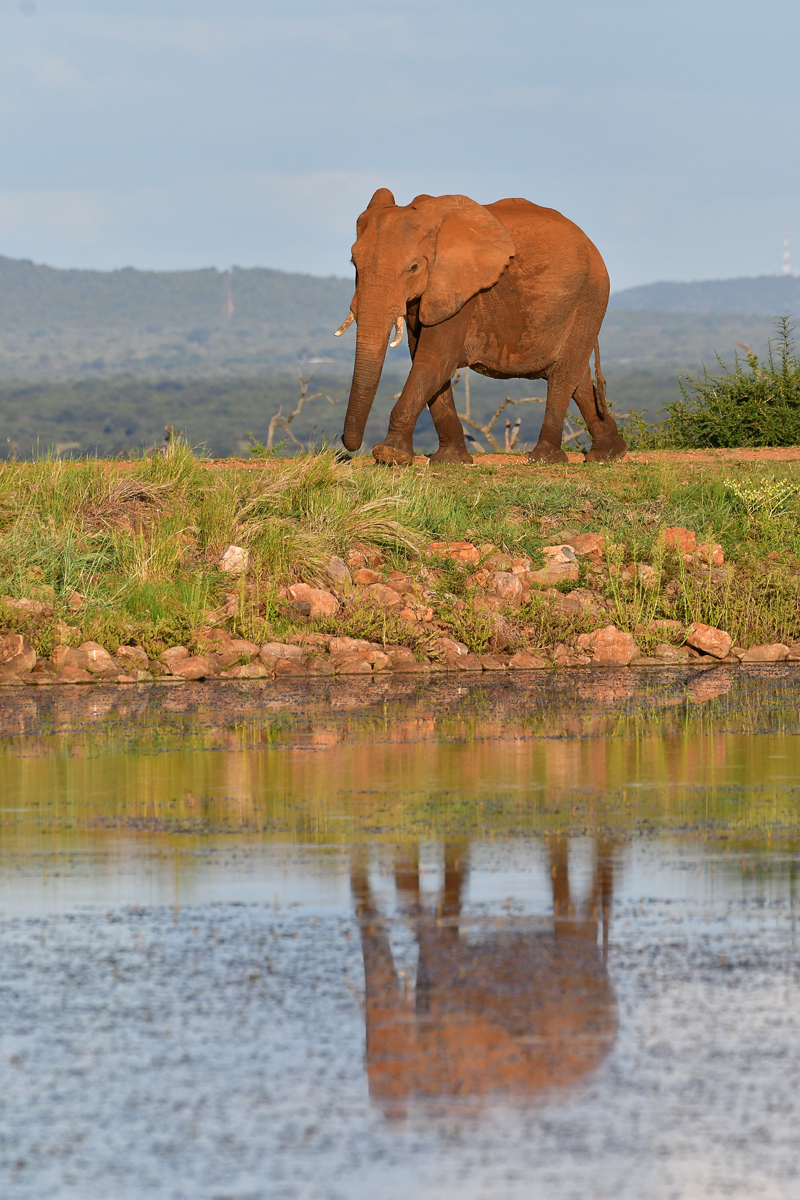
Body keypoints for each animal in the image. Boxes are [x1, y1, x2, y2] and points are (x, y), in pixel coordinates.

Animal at [335, 189, 626, 466]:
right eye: (353, 263)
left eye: (414, 267)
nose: (347, 447)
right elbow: (425, 360)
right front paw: (451, 461)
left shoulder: (463, 289)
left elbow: (434, 360)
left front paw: (389, 455)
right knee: (578, 375)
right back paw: (609, 454)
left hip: (589, 297)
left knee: (564, 373)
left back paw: (544, 458)